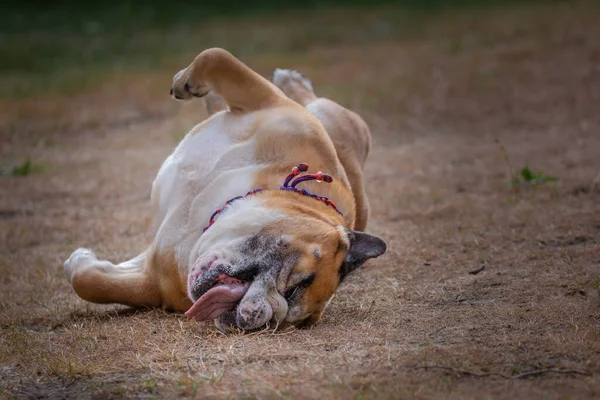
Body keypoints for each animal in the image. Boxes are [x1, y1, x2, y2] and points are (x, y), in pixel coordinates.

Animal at [64, 48, 384, 332]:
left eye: (283, 323)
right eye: (295, 287)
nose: (265, 317)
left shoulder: (155, 280)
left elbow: (92, 284)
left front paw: (80, 262)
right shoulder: (273, 106)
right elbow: (217, 57)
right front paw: (186, 81)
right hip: (323, 117)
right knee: (302, 99)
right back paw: (289, 82)